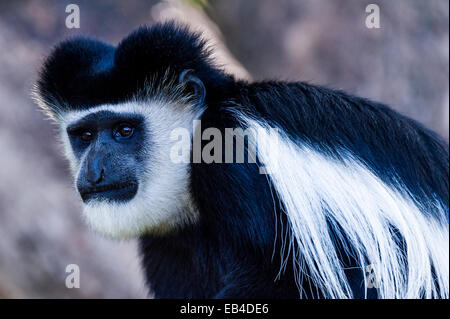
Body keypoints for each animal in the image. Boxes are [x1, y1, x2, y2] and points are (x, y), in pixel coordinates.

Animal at [33, 23, 448, 300]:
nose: (94, 171)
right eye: (85, 136)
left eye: (123, 130)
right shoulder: (169, 241)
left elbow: (279, 280)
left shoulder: (237, 165)